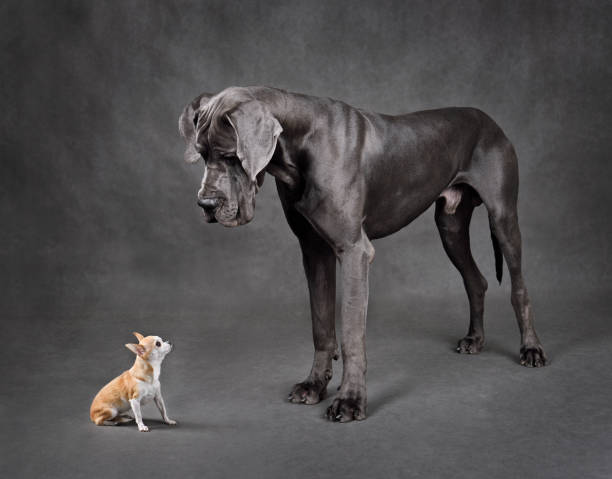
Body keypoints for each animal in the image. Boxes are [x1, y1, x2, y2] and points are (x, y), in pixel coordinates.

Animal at [179, 86, 548, 424]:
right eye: (202, 154)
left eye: (231, 155)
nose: (205, 204)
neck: (300, 145)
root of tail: (489, 120)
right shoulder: (314, 251)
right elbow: (322, 326)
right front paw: (315, 384)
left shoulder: (354, 251)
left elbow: (352, 335)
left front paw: (350, 400)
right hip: (451, 228)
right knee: (477, 280)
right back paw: (475, 339)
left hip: (502, 218)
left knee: (519, 288)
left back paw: (531, 348)